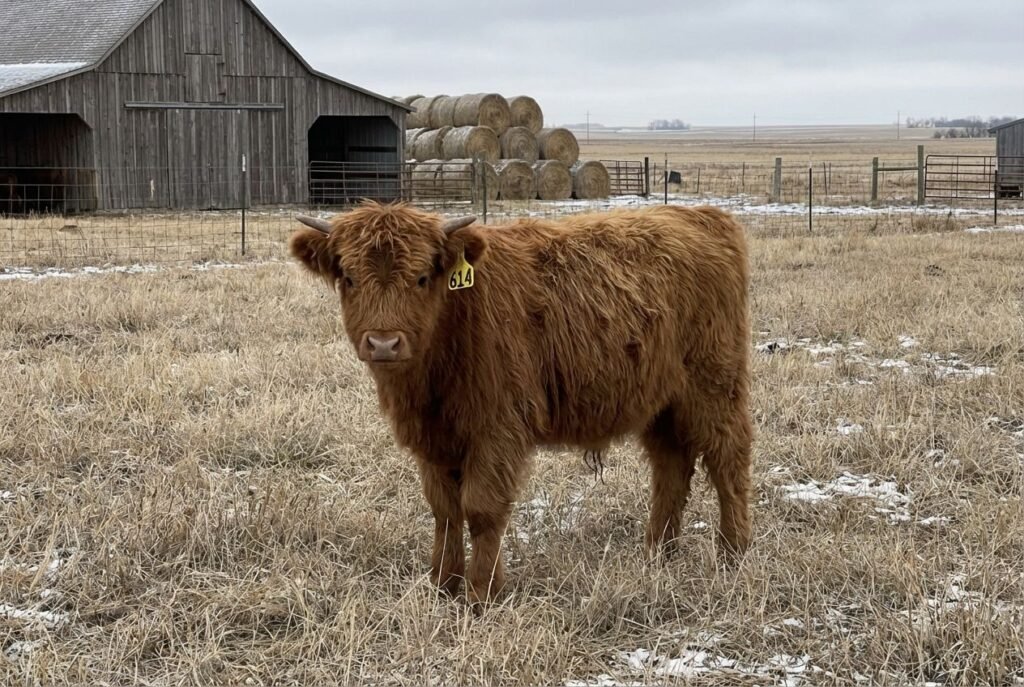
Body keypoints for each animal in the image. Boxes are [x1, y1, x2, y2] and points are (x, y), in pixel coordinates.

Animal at [289, 201, 752, 604]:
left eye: (421, 277)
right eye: (349, 277)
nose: (384, 343)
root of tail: (701, 215)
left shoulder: (497, 429)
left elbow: (481, 509)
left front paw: (481, 594)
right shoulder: (434, 439)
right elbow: (444, 510)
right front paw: (442, 584)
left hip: (715, 386)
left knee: (728, 460)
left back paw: (733, 553)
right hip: (662, 403)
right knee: (671, 468)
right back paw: (658, 552)